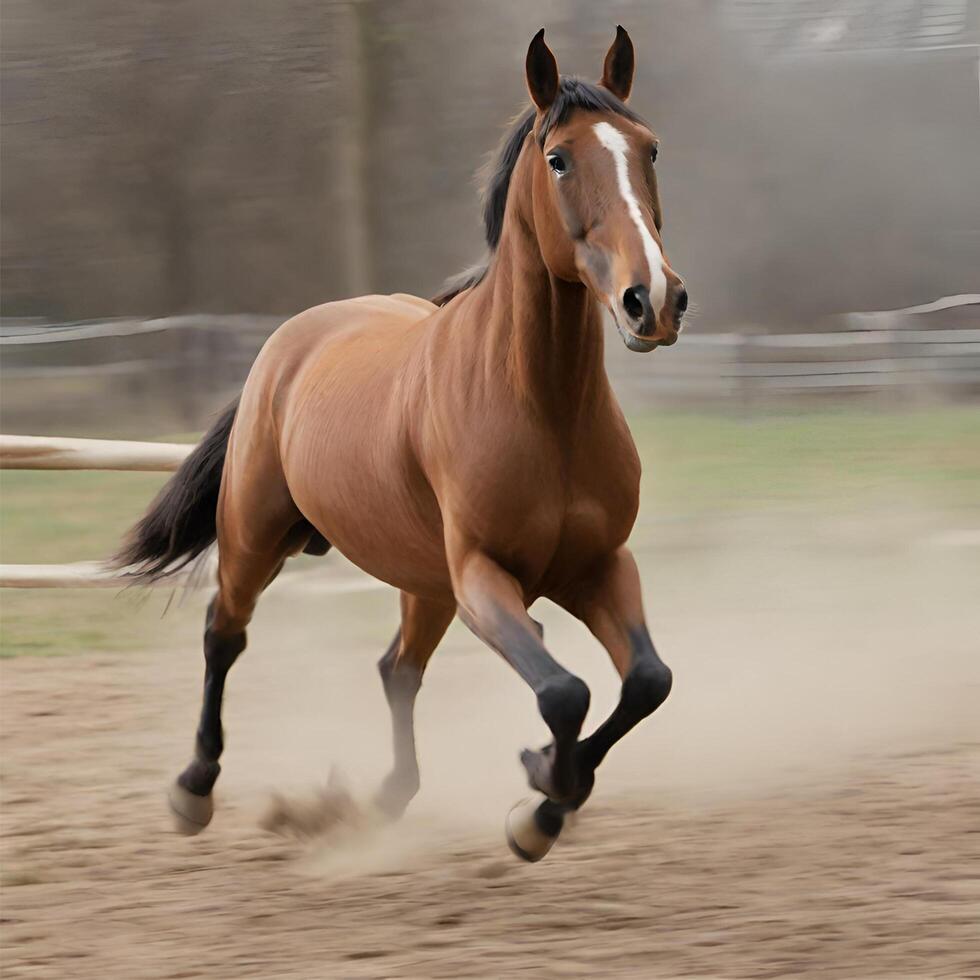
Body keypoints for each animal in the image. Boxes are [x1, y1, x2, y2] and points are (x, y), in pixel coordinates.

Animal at [118, 26, 688, 860]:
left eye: (649, 149)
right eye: (558, 159)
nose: (654, 300)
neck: (542, 409)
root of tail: (289, 342)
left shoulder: (597, 566)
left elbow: (647, 681)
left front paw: (547, 784)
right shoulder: (483, 575)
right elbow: (563, 689)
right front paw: (539, 800)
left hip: (423, 582)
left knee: (397, 669)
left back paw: (386, 797)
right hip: (256, 536)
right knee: (225, 633)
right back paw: (194, 789)